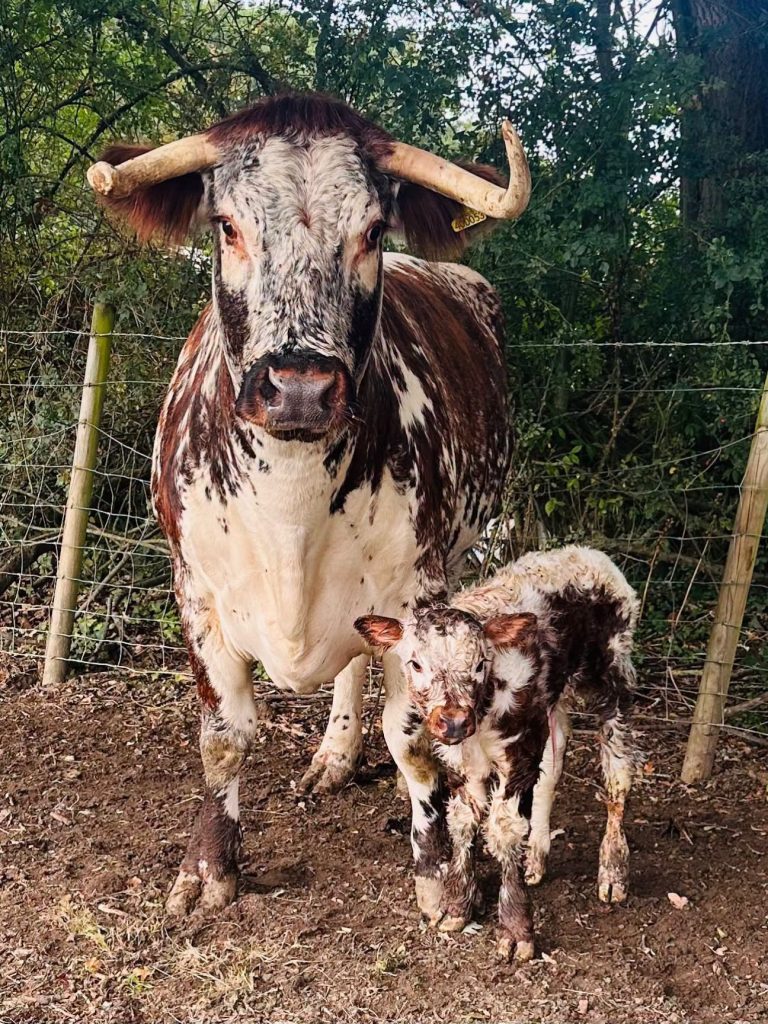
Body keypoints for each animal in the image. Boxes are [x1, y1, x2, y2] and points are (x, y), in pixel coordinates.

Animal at [86, 92, 530, 920]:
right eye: (227, 225)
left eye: (375, 231)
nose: (298, 387)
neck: (290, 512)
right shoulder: (194, 589)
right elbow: (224, 735)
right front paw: (209, 867)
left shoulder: (418, 590)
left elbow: (416, 741)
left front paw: (441, 873)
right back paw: (333, 755)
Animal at [355, 545, 639, 959]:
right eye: (415, 663)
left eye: (479, 663)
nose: (454, 721)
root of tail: (587, 554)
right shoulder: (460, 757)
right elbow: (462, 819)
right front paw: (458, 905)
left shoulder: (517, 748)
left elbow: (503, 829)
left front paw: (516, 927)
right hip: (550, 703)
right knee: (554, 761)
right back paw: (536, 855)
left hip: (613, 671)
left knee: (618, 767)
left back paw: (613, 869)